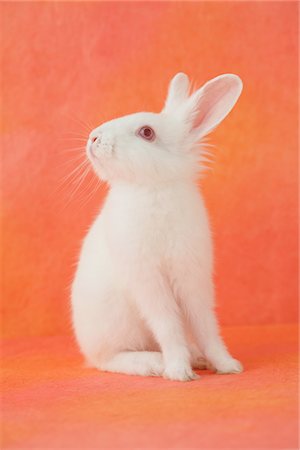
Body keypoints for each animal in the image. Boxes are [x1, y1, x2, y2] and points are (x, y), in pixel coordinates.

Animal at [71, 73, 244, 380]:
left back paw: (198, 358)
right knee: (108, 360)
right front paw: (178, 371)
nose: (94, 137)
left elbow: (205, 325)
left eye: (147, 132)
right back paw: (153, 362)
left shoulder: (192, 276)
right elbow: (168, 325)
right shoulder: (148, 281)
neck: (153, 188)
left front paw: (227, 365)